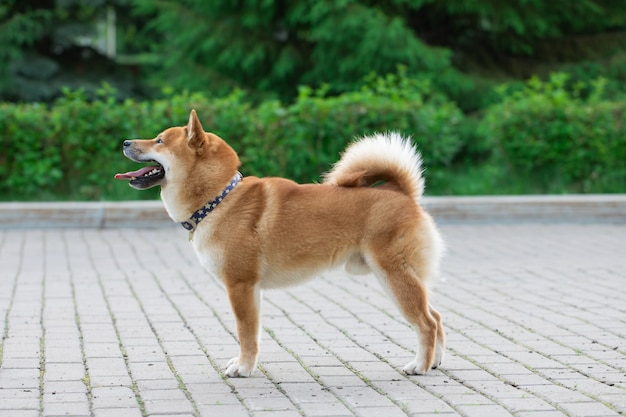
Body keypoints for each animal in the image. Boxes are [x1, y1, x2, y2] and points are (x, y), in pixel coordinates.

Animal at [113, 109, 444, 376]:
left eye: (158, 140)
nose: (126, 142)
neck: (220, 200)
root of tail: (402, 193)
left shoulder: (240, 286)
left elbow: (245, 334)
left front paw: (243, 368)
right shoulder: (252, 290)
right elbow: (253, 334)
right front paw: (245, 363)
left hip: (394, 276)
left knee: (426, 323)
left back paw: (419, 366)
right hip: (399, 278)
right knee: (436, 317)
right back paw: (435, 362)